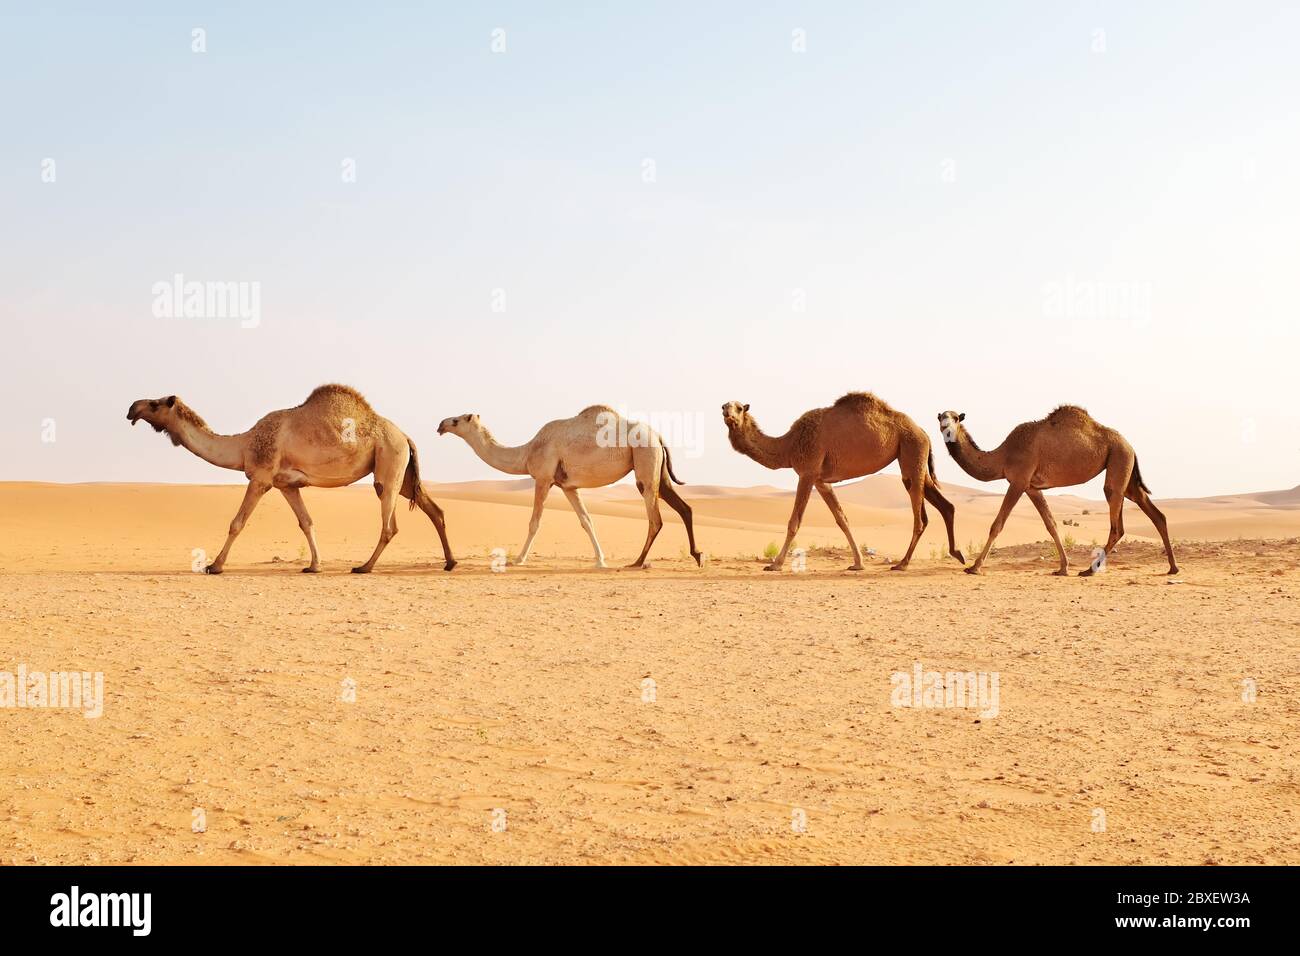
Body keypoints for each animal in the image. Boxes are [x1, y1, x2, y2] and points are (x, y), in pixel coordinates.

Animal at [124, 382, 454, 574]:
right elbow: (306, 522)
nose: (131, 408)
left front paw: (215, 565)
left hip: (389, 461)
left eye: (154, 404)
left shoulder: (260, 478)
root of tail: (405, 436)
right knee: (434, 509)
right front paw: (314, 566)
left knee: (389, 524)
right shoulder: (286, 485)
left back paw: (364, 567)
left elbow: (237, 522)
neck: (244, 444)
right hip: (404, 473)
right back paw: (450, 562)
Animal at [436, 405, 702, 567]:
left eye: (456, 420)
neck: (527, 452)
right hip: (657, 467)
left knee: (655, 518)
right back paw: (697, 555)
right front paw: (600, 560)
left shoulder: (543, 478)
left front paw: (518, 559)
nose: (440, 424)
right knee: (684, 507)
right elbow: (586, 520)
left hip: (644, 458)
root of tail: (657, 435)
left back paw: (638, 561)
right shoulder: (568, 486)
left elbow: (534, 522)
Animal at [722, 392, 967, 572]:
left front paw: (775, 564)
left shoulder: (807, 472)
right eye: (724, 405)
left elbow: (794, 522)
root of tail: (923, 431)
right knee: (946, 505)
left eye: (739, 408)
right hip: (915, 460)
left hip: (912, 451)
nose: (727, 413)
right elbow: (842, 519)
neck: (789, 445)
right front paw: (858, 563)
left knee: (920, 518)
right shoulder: (821, 481)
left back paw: (903, 564)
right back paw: (958, 554)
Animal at [935, 405, 1180, 574]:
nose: (946, 428)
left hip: (1119, 459)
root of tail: (1130, 445)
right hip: (1124, 470)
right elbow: (1051, 524)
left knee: (1116, 521)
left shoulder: (1018, 480)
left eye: (955, 418)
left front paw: (974, 567)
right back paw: (1172, 567)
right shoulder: (1032, 487)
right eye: (940, 417)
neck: (1003, 456)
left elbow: (997, 524)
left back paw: (1089, 571)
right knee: (1154, 513)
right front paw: (1063, 567)